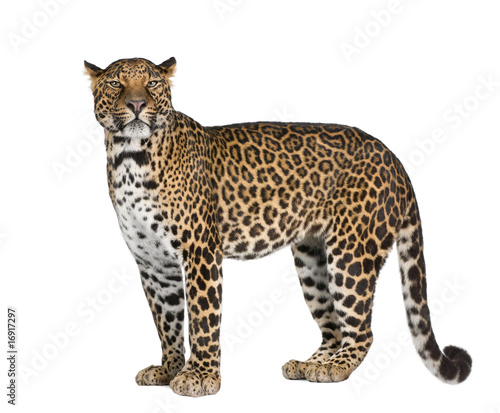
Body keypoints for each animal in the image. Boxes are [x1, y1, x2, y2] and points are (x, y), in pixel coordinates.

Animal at [84, 56, 470, 394]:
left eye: (151, 83)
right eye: (117, 83)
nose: (136, 104)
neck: (129, 157)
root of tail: (394, 158)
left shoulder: (200, 253)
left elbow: (203, 319)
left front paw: (201, 377)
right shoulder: (153, 262)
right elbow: (167, 321)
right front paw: (168, 369)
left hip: (351, 254)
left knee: (361, 330)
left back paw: (334, 368)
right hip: (312, 259)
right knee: (333, 327)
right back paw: (310, 364)